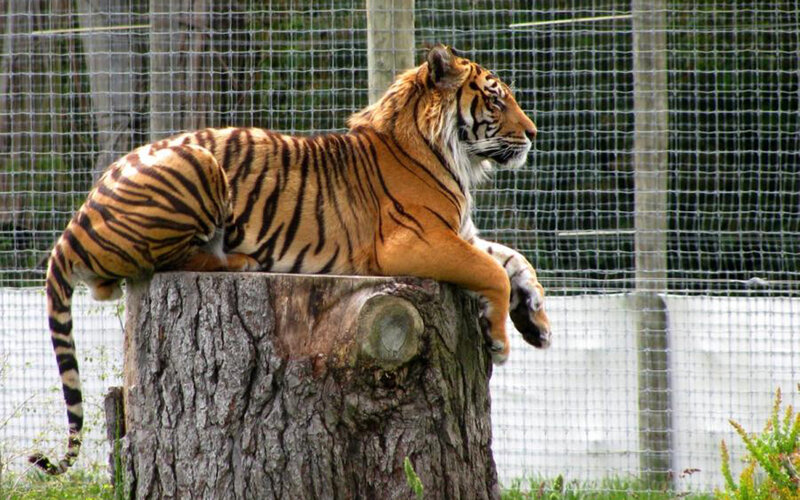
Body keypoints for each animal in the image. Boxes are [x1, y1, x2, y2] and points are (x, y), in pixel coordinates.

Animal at [30, 44, 551, 475]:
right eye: (496, 100)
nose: (533, 133)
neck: (450, 155)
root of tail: (75, 220)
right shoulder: (414, 241)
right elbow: (491, 271)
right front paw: (500, 339)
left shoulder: (459, 234)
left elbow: (515, 262)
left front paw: (537, 324)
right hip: (198, 165)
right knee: (153, 265)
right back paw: (237, 261)